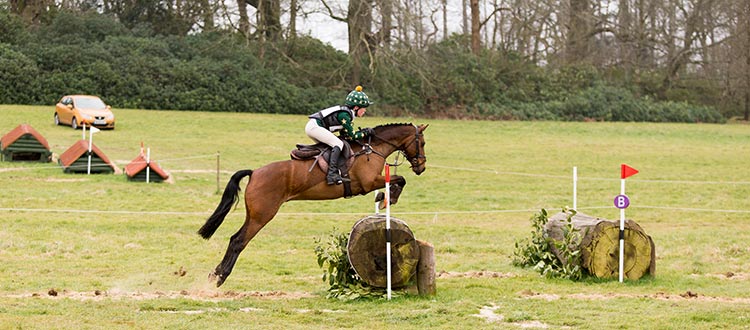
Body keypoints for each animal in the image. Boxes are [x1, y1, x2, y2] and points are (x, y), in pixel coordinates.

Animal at [197, 122, 428, 288]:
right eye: (422, 143)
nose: (422, 167)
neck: (372, 149)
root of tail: (254, 173)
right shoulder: (368, 182)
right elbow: (400, 179)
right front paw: (391, 197)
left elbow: (397, 181)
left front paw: (385, 198)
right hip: (262, 216)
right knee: (238, 241)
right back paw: (219, 277)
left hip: (254, 214)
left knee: (235, 239)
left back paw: (215, 275)